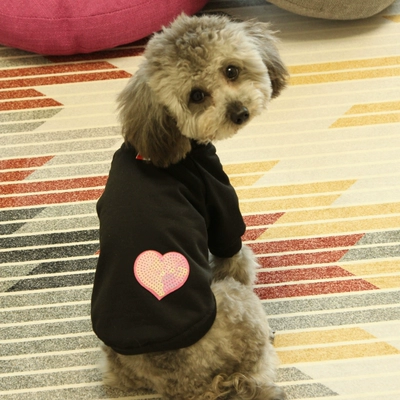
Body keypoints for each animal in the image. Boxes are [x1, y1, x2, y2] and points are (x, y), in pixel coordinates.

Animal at [91, 13, 288, 400]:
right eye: (196, 96)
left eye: (231, 70)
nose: (239, 112)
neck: (172, 145)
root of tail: (192, 385)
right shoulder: (220, 202)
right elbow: (235, 257)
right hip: (235, 305)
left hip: (118, 364)